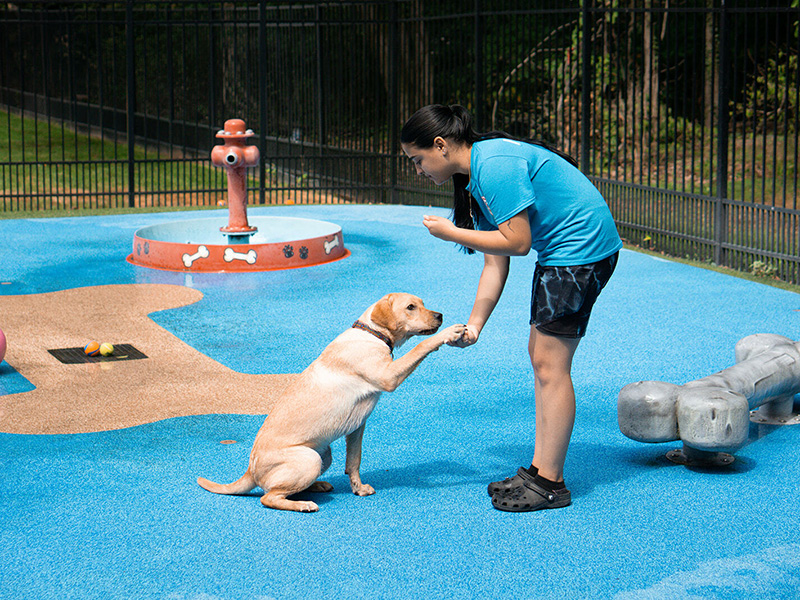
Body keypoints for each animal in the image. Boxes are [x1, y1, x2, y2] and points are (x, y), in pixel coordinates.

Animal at [196, 292, 466, 512]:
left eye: (423, 303)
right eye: (411, 307)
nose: (440, 316)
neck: (372, 334)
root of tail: (250, 470)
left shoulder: (357, 427)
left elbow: (354, 462)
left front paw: (358, 489)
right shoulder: (389, 377)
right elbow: (422, 346)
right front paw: (449, 333)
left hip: (323, 454)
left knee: (282, 488)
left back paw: (317, 486)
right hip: (309, 459)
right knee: (268, 497)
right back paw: (303, 504)